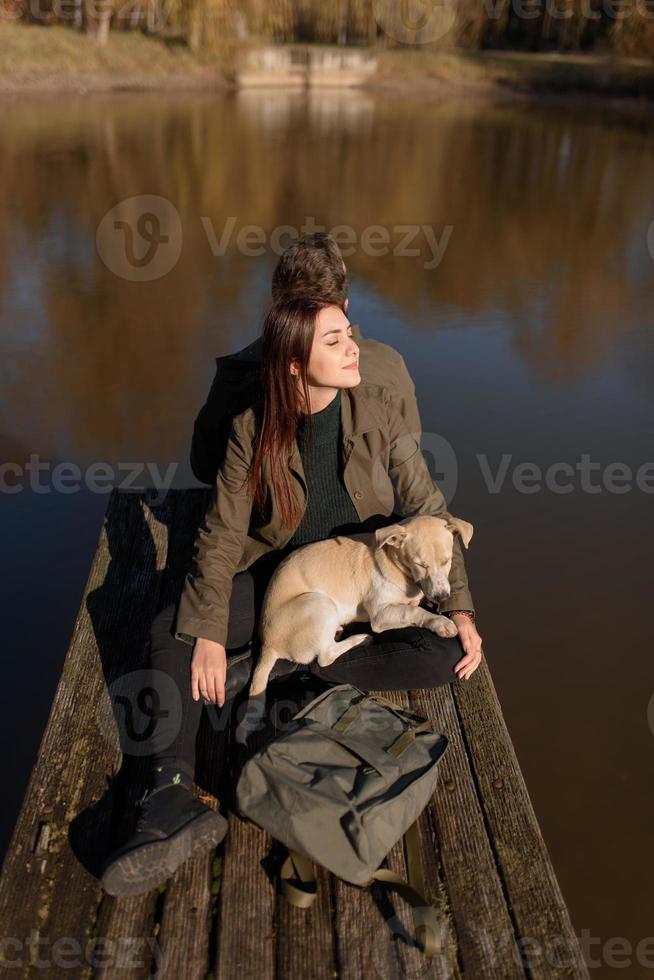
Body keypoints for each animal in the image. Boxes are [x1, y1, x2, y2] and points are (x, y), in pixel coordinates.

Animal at [249, 512, 474, 696]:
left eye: (447, 561)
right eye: (420, 564)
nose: (442, 597)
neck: (396, 564)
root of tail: (268, 644)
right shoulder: (380, 614)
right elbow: (412, 610)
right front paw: (441, 622)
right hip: (320, 602)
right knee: (324, 658)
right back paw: (360, 639)